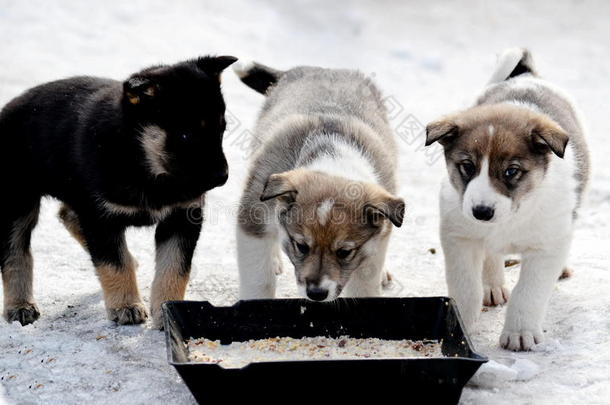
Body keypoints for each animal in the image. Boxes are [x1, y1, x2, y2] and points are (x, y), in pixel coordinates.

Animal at [0, 55, 235, 326]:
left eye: (221, 129)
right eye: (186, 135)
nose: (223, 177)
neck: (141, 160)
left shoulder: (181, 218)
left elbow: (174, 268)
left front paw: (167, 308)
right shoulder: (100, 218)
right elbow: (114, 263)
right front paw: (126, 305)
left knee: (67, 216)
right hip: (18, 201)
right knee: (15, 253)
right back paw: (19, 305)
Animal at [233, 60, 404, 300]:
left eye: (344, 252)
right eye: (301, 246)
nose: (316, 294)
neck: (333, 159)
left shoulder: (375, 242)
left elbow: (364, 283)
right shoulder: (253, 220)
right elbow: (259, 280)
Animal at [422, 49, 588, 348]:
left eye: (511, 171)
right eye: (467, 166)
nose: (481, 212)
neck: (513, 216)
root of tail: (527, 76)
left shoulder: (547, 247)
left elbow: (528, 292)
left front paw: (519, 332)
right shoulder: (460, 237)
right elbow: (465, 287)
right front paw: (461, 323)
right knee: (490, 255)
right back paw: (492, 286)